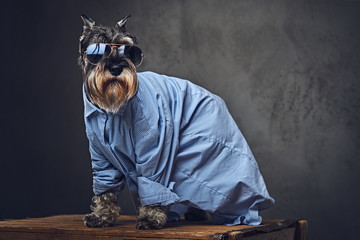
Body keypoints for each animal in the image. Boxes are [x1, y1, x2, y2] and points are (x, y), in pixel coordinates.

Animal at [79, 14, 274, 229]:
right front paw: (101, 215)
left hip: (197, 154)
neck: (111, 110)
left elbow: (152, 182)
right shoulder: (101, 157)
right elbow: (105, 189)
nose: (116, 68)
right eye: (97, 51)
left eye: (129, 50)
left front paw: (150, 217)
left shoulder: (155, 150)